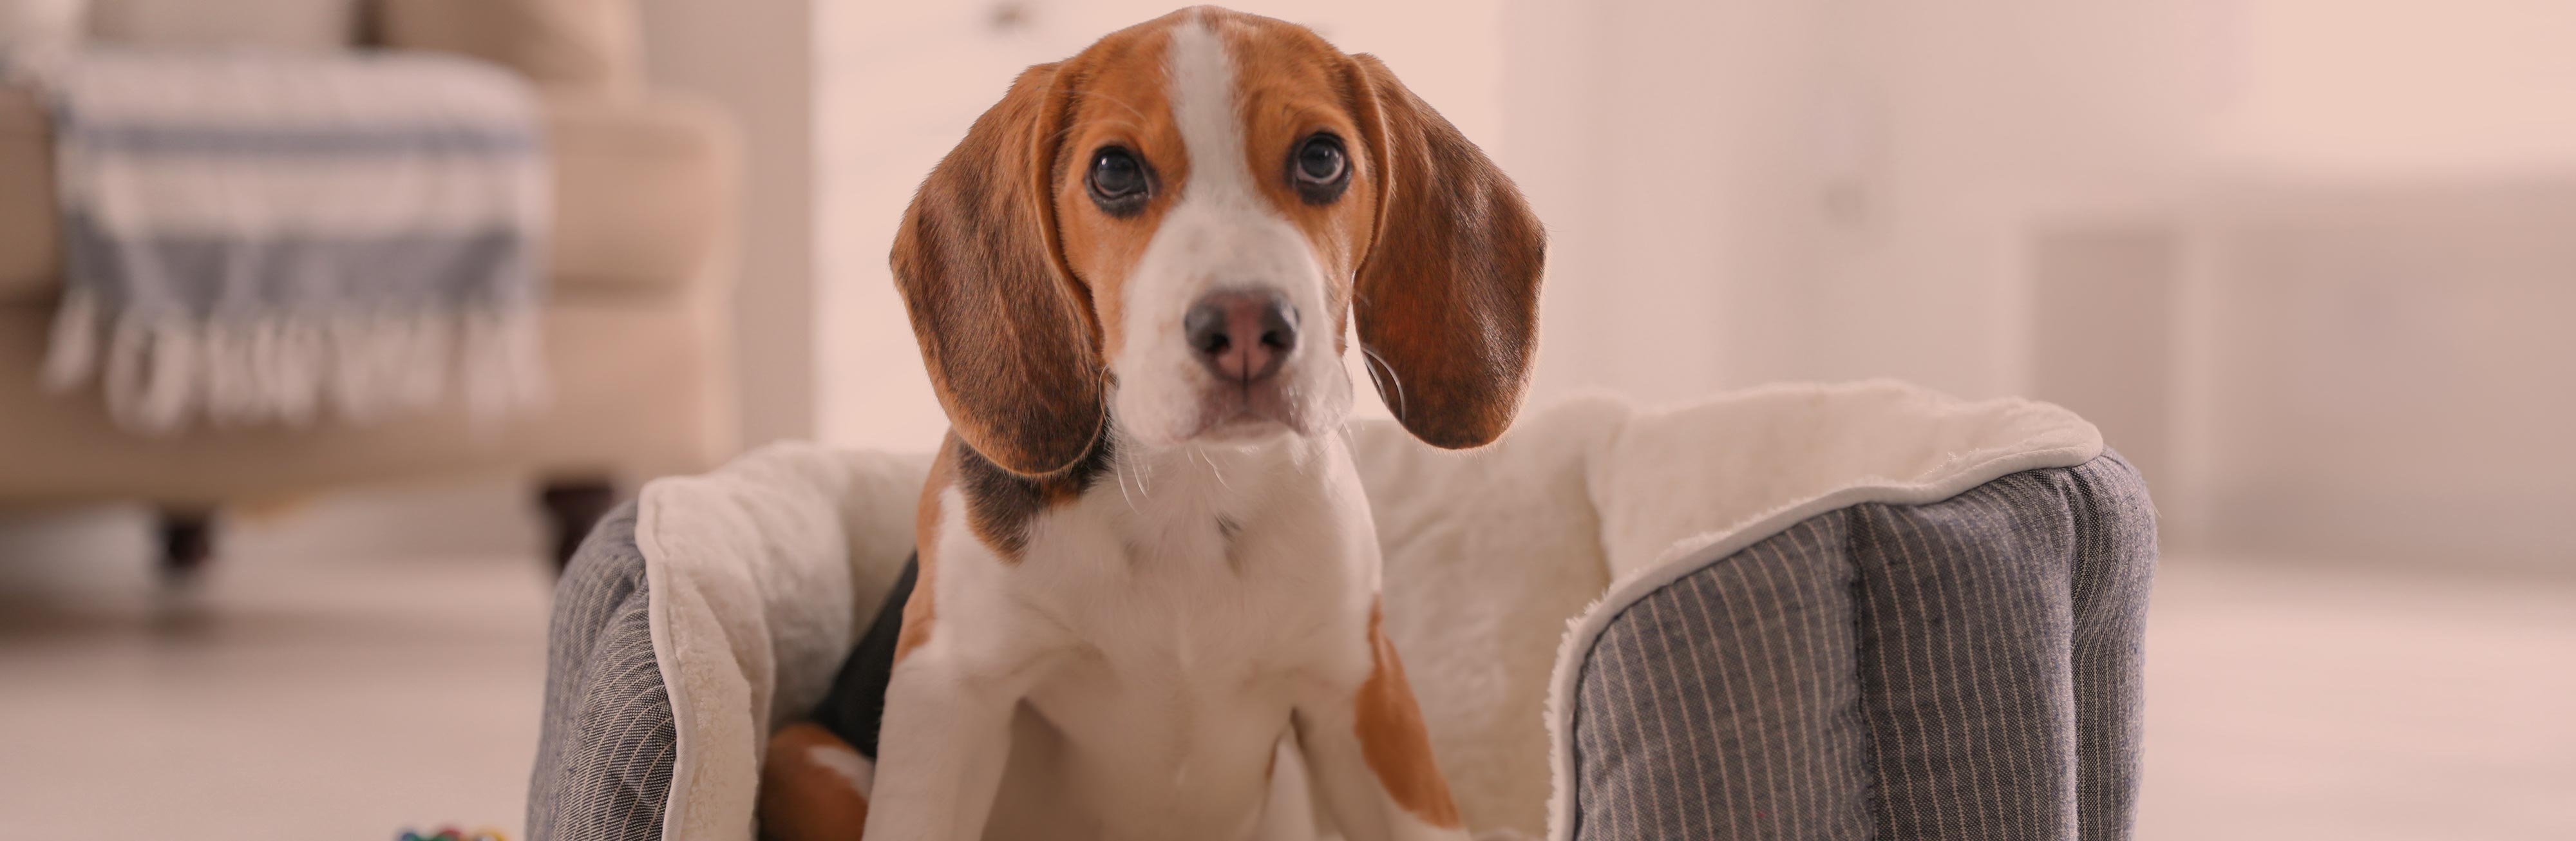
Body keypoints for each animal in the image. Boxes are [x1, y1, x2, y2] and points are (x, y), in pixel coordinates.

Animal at [752, 6, 1535, 841]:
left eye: (1322, 158)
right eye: (1114, 172)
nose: (1248, 325)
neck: (1186, 489)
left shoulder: (1364, 688)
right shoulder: (948, 687)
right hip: (803, 760)